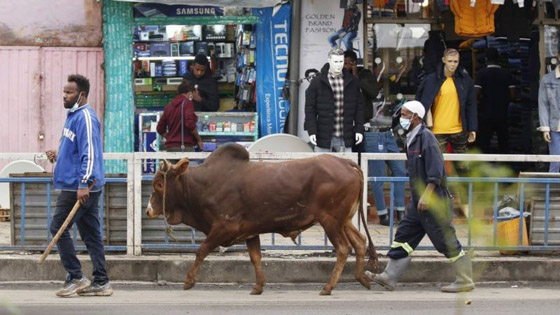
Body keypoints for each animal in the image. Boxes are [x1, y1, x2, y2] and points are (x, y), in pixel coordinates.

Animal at [144, 144, 376, 296]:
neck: (202, 184)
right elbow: (255, 258)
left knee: (344, 248)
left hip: (330, 220)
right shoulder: (250, 231)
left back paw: (328, 287)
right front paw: (258, 286)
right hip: (344, 220)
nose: (148, 211)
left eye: (159, 185)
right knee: (360, 242)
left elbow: (201, 250)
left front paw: (189, 281)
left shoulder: (224, 227)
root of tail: (347, 163)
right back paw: (363, 278)